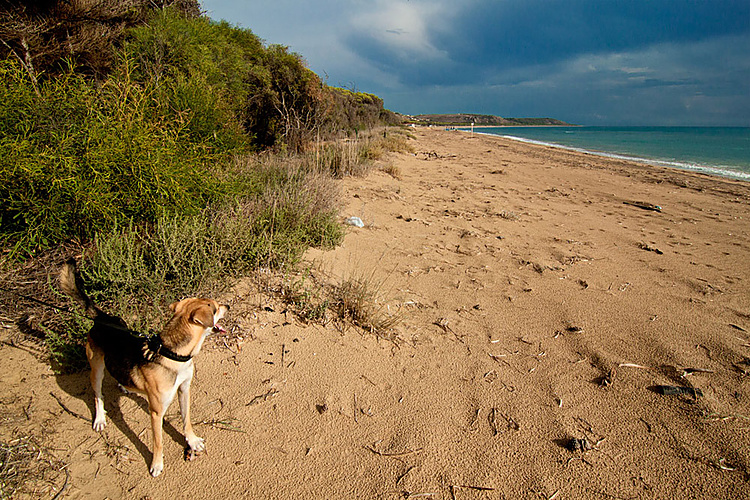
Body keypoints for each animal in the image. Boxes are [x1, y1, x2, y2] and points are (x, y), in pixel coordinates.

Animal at [59, 262, 229, 476]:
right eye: (215, 308)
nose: (228, 306)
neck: (172, 353)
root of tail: (101, 317)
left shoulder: (184, 390)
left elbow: (186, 420)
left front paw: (192, 441)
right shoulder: (156, 412)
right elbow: (158, 442)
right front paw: (157, 464)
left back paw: (124, 386)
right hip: (96, 368)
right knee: (98, 395)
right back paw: (99, 419)